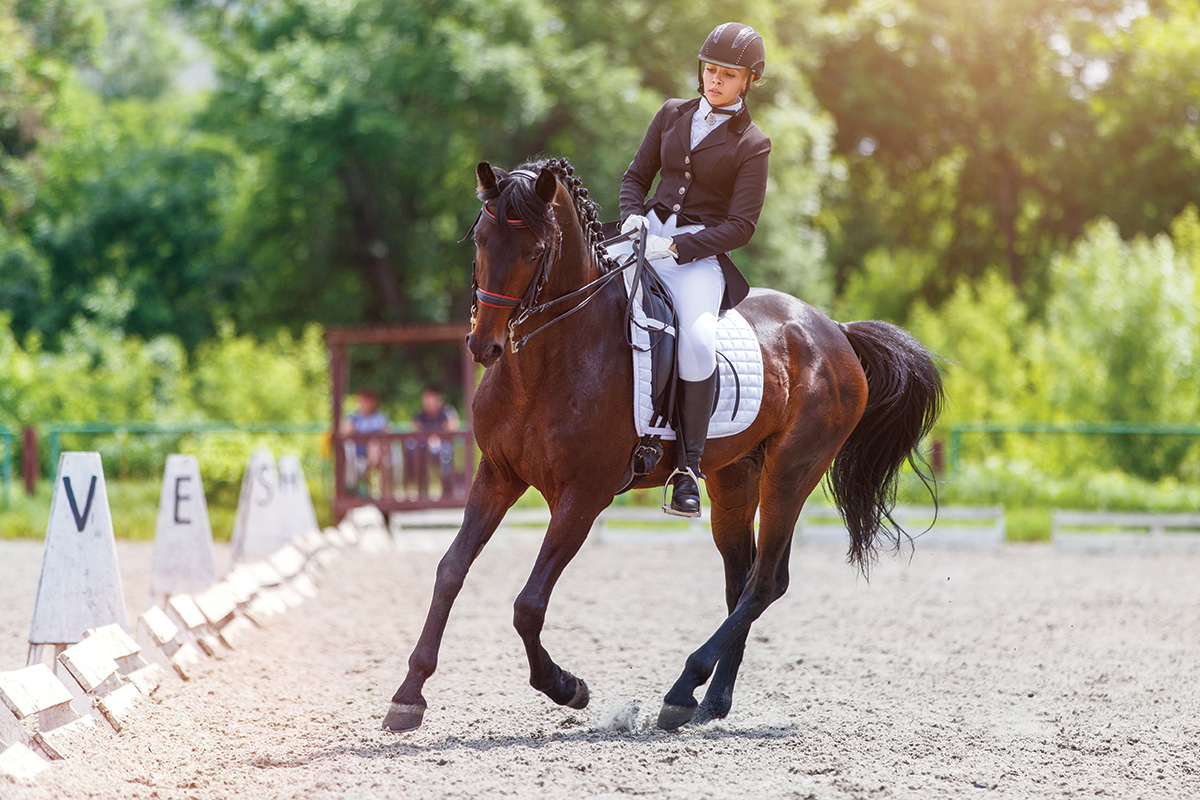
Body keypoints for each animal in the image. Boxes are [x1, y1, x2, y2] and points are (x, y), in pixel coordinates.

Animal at [379, 155, 940, 734]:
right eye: (481, 241)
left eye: (534, 251)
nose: (484, 345)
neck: (549, 359)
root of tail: (834, 329)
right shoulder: (497, 473)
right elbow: (450, 571)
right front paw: (409, 694)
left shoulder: (583, 496)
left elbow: (528, 604)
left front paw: (566, 687)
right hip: (734, 478)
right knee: (741, 579)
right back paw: (710, 701)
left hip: (791, 472)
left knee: (765, 582)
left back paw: (683, 688)